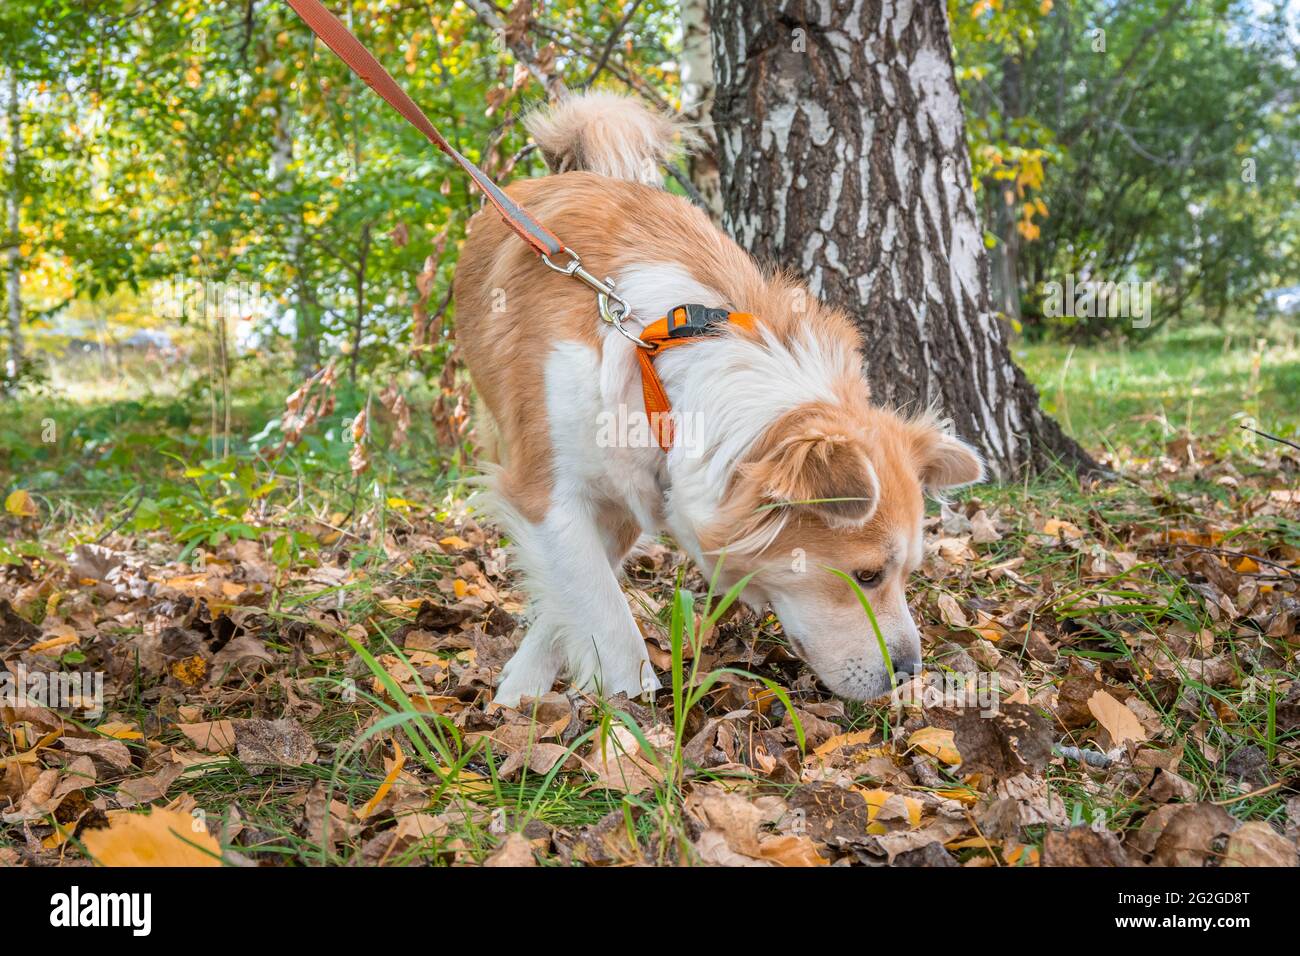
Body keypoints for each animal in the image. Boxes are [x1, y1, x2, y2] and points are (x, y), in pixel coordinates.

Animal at [452, 93, 977, 707]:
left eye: (907, 572)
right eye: (867, 575)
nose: (911, 673)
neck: (660, 360)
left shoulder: (639, 486)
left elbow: (579, 596)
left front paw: (527, 688)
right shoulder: (547, 492)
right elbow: (608, 623)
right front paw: (632, 719)